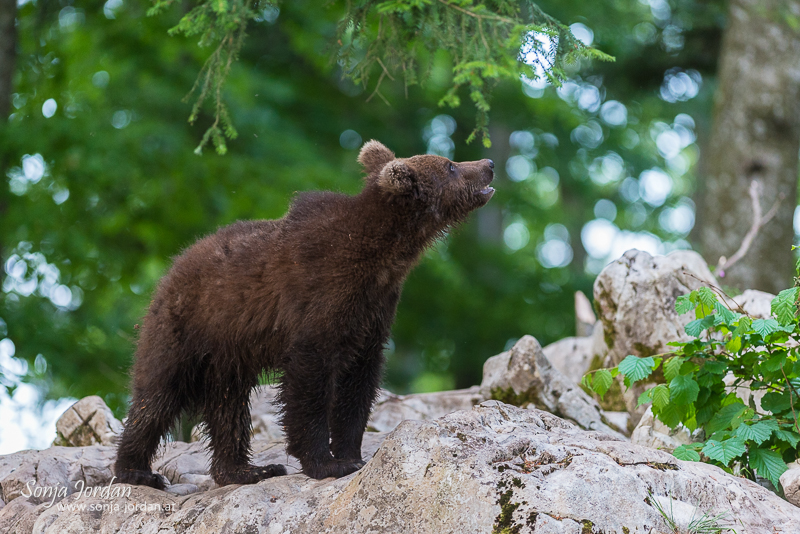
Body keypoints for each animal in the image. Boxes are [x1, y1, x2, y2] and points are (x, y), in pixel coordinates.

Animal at [114, 139, 494, 490]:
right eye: (450, 165)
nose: (488, 164)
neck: (385, 256)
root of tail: (172, 267)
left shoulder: (374, 310)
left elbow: (359, 382)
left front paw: (351, 453)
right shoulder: (321, 295)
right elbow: (310, 379)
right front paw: (326, 462)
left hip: (227, 354)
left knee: (228, 406)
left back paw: (245, 470)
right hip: (186, 326)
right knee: (158, 394)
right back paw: (137, 471)